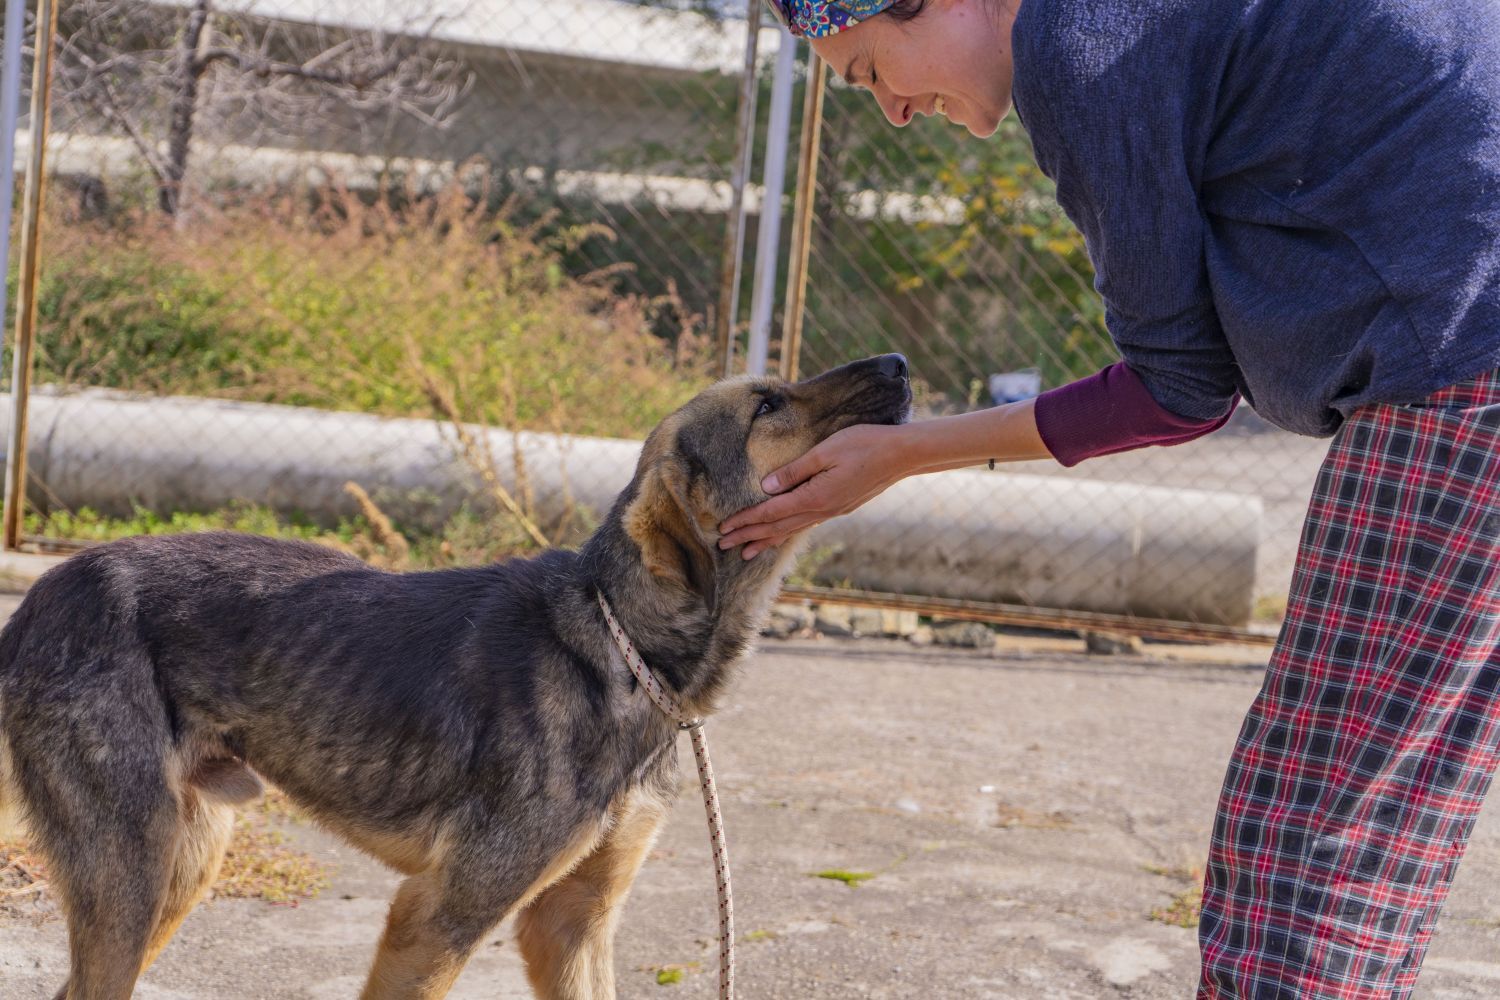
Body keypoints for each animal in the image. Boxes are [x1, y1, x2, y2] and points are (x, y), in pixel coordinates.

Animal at [0, 355, 912, 995]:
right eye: (768, 406)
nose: (902, 363)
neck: (618, 646)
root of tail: (35, 602)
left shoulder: (573, 924)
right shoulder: (440, 913)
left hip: (182, 866)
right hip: (132, 878)